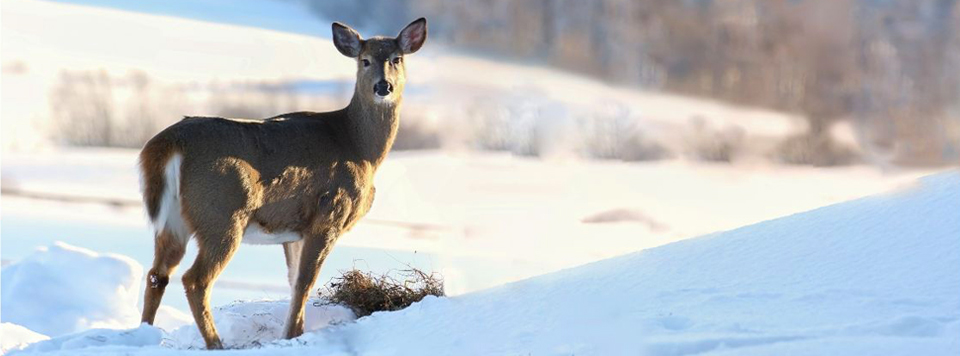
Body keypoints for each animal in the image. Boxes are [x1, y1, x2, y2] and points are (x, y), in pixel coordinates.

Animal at [137, 18, 426, 350]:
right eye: (364, 60)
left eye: (396, 59)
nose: (383, 86)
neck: (359, 146)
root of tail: (169, 142)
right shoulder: (329, 213)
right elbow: (305, 282)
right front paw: (293, 335)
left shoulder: (293, 231)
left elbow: (291, 281)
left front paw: (292, 332)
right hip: (221, 214)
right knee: (195, 279)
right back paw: (216, 343)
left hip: (173, 219)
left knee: (157, 274)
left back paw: (143, 334)